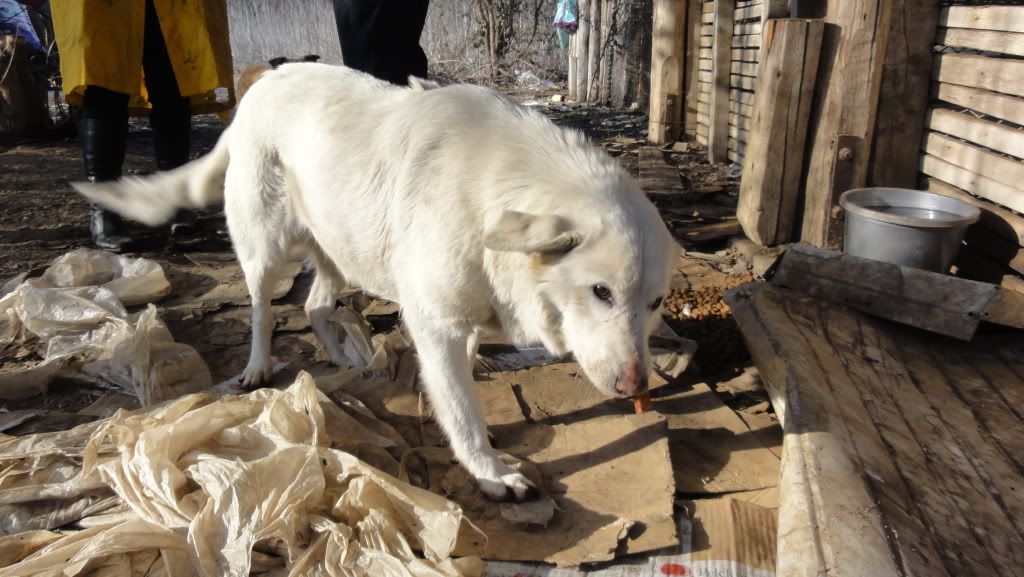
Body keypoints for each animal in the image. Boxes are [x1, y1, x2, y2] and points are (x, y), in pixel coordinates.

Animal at [72, 64, 679, 502]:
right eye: (601, 292)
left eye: (654, 303)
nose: (637, 386)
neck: (496, 189)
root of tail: (264, 81)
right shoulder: (436, 325)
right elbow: (461, 407)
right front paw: (489, 469)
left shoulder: (456, 318)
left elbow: (464, 371)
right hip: (265, 247)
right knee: (264, 310)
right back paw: (258, 367)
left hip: (340, 247)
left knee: (316, 304)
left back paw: (346, 358)